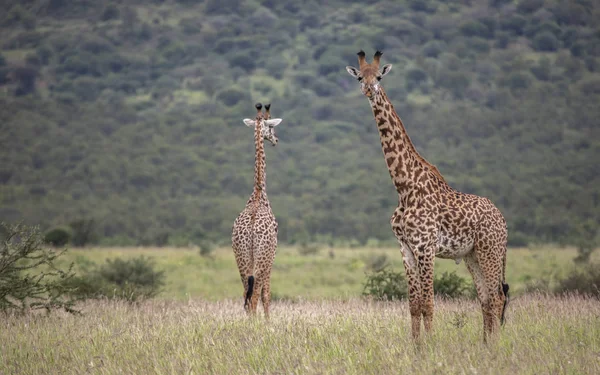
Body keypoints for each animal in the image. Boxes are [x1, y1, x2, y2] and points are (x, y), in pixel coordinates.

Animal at [344, 51, 508, 342]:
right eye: (360, 77)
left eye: (380, 77)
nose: (369, 90)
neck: (404, 187)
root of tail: (503, 221)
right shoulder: (406, 249)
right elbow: (414, 304)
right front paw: (416, 346)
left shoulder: (426, 247)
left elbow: (429, 303)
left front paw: (431, 346)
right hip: (472, 255)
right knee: (486, 300)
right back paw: (485, 345)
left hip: (490, 250)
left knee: (497, 298)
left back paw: (496, 347)